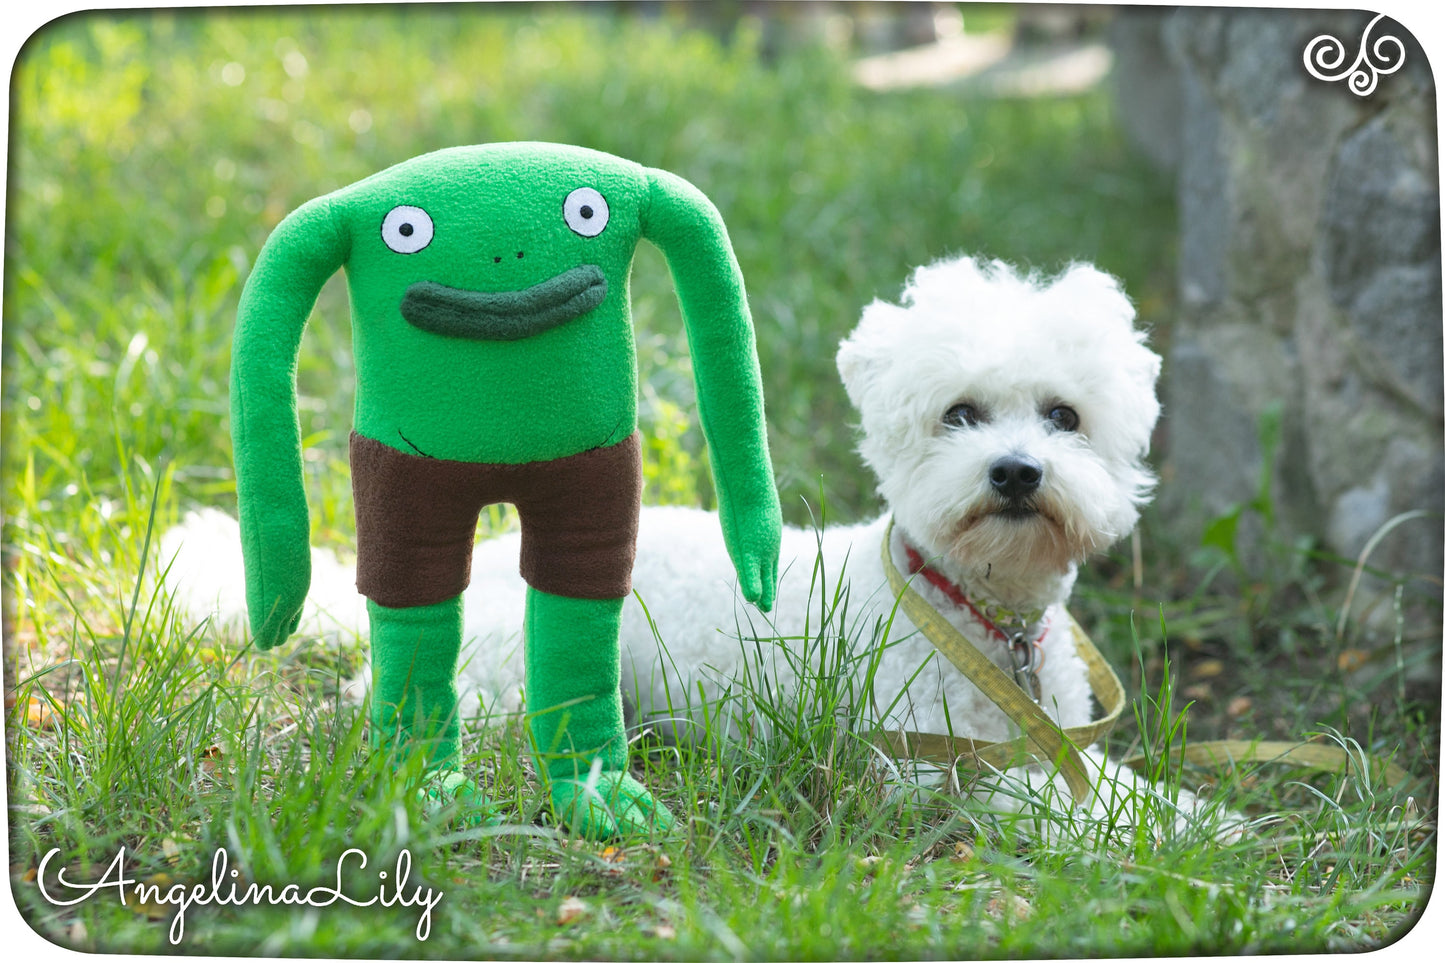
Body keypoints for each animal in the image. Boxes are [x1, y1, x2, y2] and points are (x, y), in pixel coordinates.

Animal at [164, 254, 1190, 827]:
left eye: (1063, 416)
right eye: (959, 414)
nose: (1015, 472)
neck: (971, 613)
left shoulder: (1051, 737)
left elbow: (1114, 783)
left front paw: (1199, 825)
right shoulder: (918, 765)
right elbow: (1043, 798)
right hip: (509, 674)